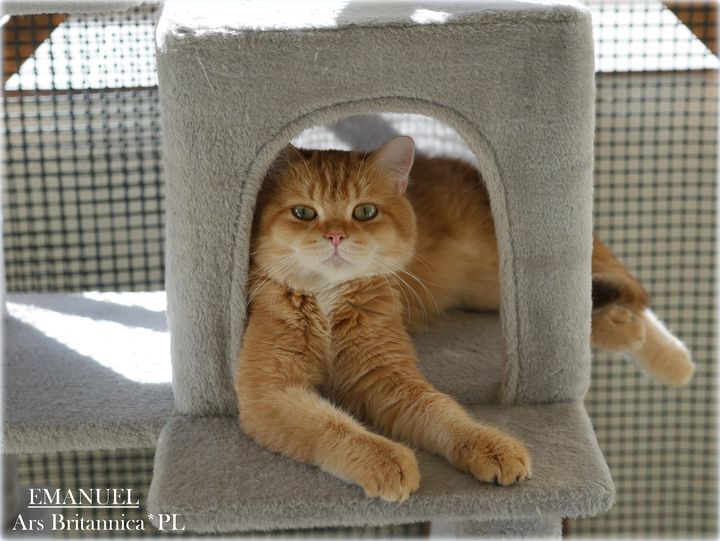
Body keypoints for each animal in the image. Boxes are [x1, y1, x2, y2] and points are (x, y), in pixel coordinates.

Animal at [235, 136, 694, 502]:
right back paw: (634, 334)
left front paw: (489, 445)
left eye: (364, 212)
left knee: (610, 293)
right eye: (303, 213)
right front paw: (385, 459)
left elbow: (444, 413)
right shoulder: (271, 392)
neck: (328, 299)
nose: (335, 236)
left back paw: (669, 358)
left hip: (502, 281)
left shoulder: (391, 378)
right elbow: (335, 425)